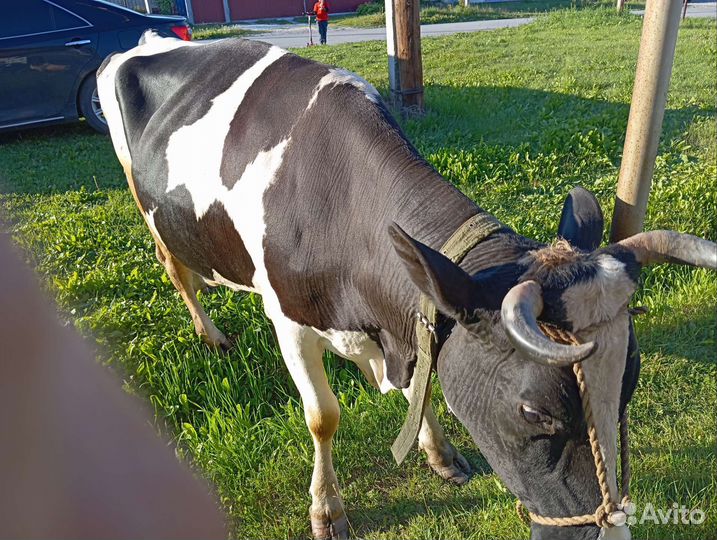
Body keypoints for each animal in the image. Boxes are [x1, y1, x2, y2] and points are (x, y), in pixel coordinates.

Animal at [97, 33, 716, 540]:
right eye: (533, 412)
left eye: (630, 383)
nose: (609, 531)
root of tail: (144, 42)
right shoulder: (289, 320)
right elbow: (322, 416)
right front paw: (327, 511)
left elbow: (421, 377)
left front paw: (440, 454)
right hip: (144, 201)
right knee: (176, 268)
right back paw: (211, 334)